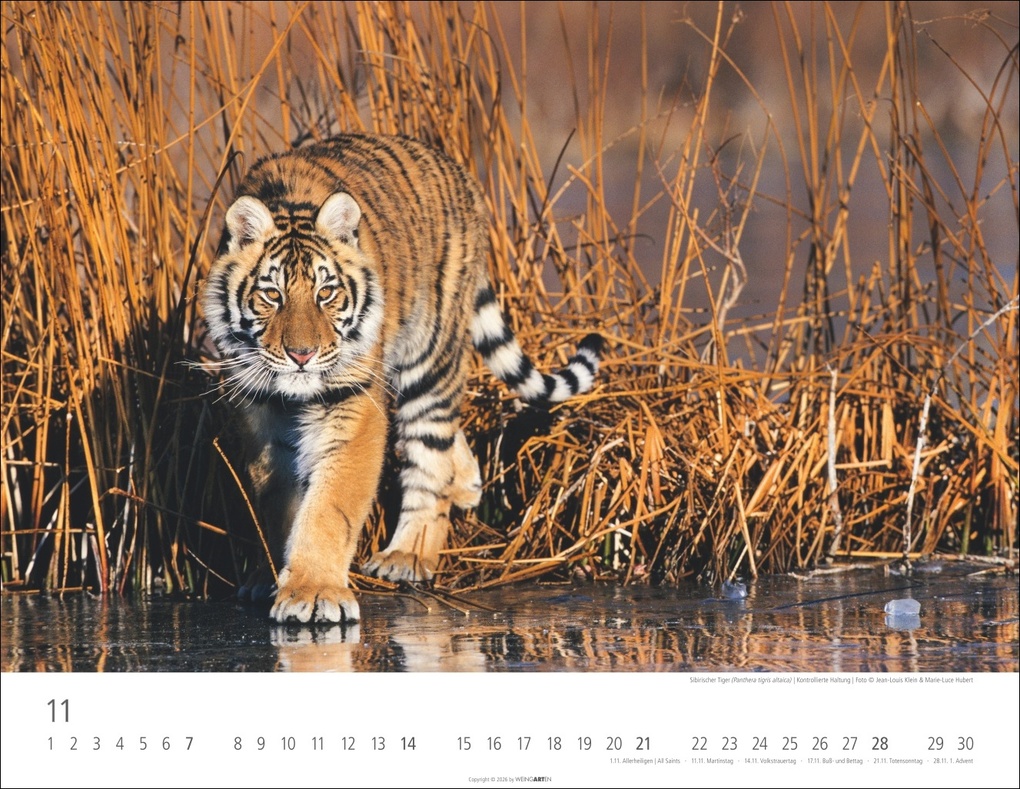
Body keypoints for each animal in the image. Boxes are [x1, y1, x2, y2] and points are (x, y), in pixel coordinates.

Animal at [200, 133, 602, 624]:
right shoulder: (259, 413)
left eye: (325, 293)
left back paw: (407, 555)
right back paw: (467, 483)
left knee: (431, 455)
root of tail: (460, 174)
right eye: (271, 295)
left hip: (430, 360)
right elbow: (275, 503)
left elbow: (329, 507)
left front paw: (313, 592)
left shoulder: (351, 403)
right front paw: (269, 577)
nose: (301, 354)